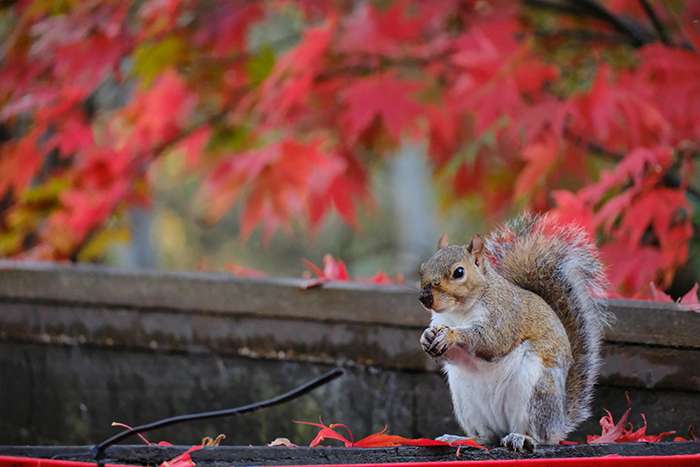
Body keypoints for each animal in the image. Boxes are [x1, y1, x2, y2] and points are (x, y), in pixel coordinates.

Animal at [418, 214, 608, 452]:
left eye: (458, 272)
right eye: (423, 267)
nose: (425, 298)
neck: (459, 313)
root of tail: (559, 423)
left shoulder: (504, 316)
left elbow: (491, 341)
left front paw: (452, 335)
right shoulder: (440, 321)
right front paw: (426, 337)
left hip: (535, 392)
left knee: (540, 436)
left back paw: (521, 438)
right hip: (466, 401)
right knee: (487, 437)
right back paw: (459, 439)